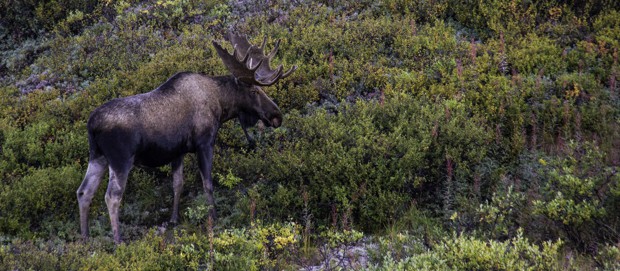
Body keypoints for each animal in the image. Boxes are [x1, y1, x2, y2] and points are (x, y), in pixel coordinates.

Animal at [75, 33, 298, 243]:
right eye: (254, 90)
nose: (276, 116)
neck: (221, 105)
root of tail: (92, 125)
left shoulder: (178, 152)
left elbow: (177, 184)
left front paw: (174, 218)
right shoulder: (205, 143)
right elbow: (207, 183)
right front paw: (213, 216)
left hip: (97, 156)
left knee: (84, 191)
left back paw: (85, 238)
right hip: (120, 159)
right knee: (112, 196)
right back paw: (118, 240)